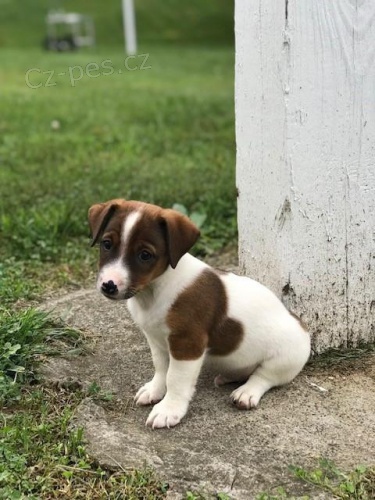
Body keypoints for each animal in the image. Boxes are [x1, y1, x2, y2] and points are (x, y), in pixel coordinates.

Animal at [88, 199, 312, 430]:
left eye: (145, 255)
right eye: (107, 244)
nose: (109, 285)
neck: (154, 290)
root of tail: (302, 326)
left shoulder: (187, 344)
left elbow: (175, 379)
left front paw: (169, 409)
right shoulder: (156, 340)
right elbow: (161, 368)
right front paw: (155, 390)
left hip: (284, 359)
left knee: (263, 377)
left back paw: (246, 392)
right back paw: (227, 377)